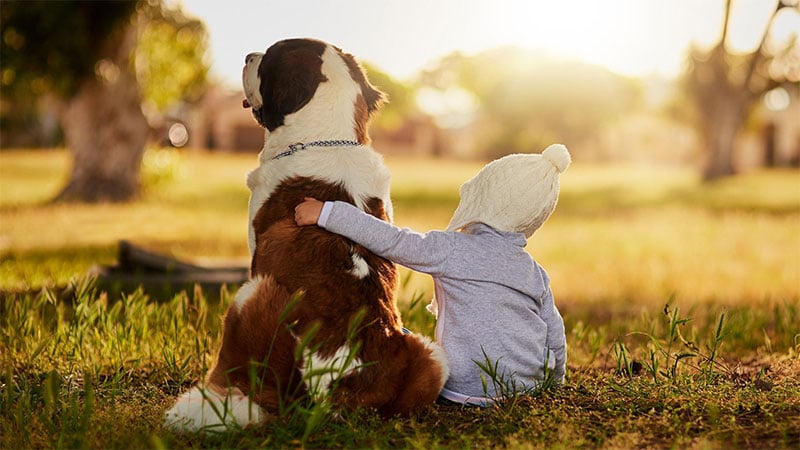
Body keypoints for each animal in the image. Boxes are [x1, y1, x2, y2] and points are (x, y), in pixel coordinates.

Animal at [162, 37, 450, 430]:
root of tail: (341, 389)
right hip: (433, 356)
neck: (327, 139)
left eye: (267, 58)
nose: (248, 55)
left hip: (253, 293)